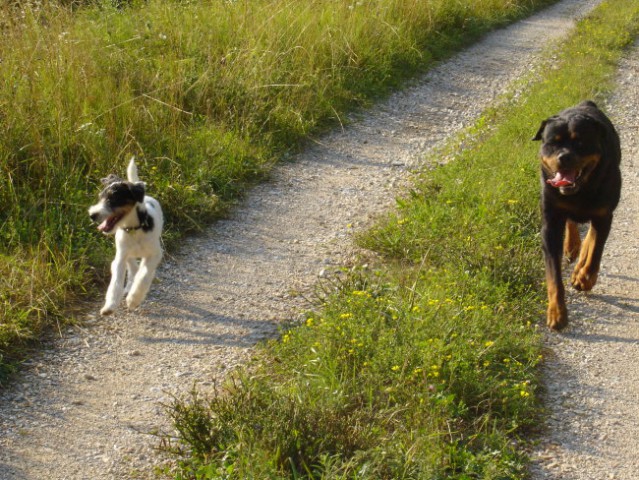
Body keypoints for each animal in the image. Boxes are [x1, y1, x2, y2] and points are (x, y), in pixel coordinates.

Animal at [89, 158, 164, 316]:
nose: (92, 215)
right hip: (124, 251)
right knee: (132, 268)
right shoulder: (120, 258)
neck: (134, 229)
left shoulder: (155, 254)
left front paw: (134, 299)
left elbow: (144, 275)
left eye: (113, 199)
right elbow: (116, 282)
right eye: (100, 198)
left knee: (139, 271)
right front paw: (110, 305)